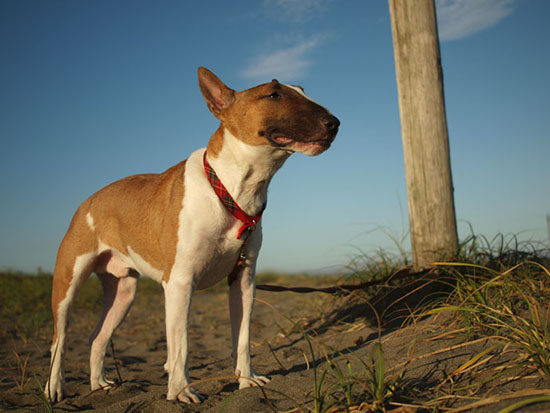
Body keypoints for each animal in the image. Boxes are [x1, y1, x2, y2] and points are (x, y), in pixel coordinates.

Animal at [46, 67, 340, 402]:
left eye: (302, 90)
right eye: (274, 93)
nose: (335, 123)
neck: (230, 189)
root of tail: (88, 201)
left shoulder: (243, 281)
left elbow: (242, 338)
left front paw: (246, 379)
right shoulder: (180, 283)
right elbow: (180, 347)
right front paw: (180, 391)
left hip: (124, 292)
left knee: (97, 338)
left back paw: (99, 385)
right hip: (68, 283)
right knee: (59, 340)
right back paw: (55, 388)